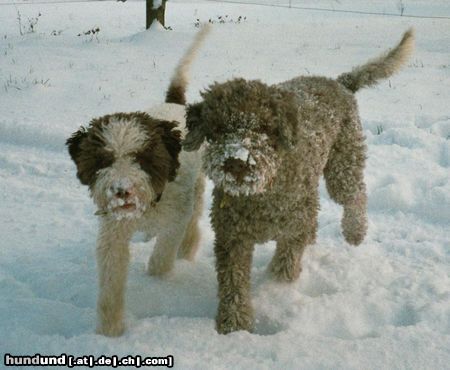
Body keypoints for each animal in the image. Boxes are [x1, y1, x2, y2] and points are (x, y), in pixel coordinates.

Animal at [66, 27, 209, 336]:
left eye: (142, 158)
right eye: (104, 160)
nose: (121, 191)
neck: (149, 204)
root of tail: (173, 103)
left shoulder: (174, 220)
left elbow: (161, 258)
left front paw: (157, 281)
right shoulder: (113, 232)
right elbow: (111, 282)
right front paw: (109, 330)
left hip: (198, 185)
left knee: (195, 216)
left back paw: (188, 247)